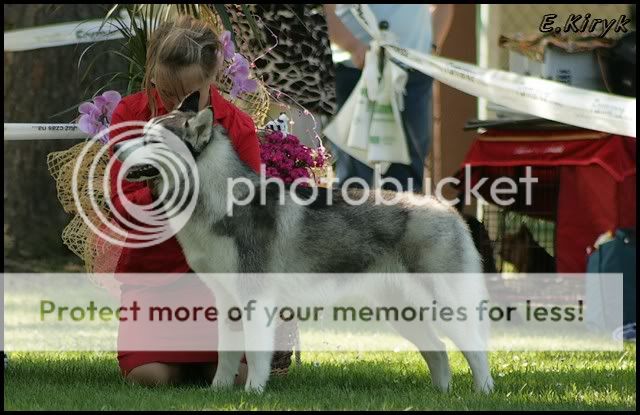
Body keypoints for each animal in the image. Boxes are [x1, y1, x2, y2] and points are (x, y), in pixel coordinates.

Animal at [115, 91, 494, 394]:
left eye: (152, 140)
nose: (115, 145)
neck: (217, 196)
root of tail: (446, 209)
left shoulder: (256, 299)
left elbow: (255, 354)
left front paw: (253, 393)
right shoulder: (226, 301)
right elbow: (226, 355)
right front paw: (218, 392)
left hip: (443, 304)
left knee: (476, 349)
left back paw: (483, 393)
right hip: (400, 310)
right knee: (438, 350)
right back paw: (441, 394)